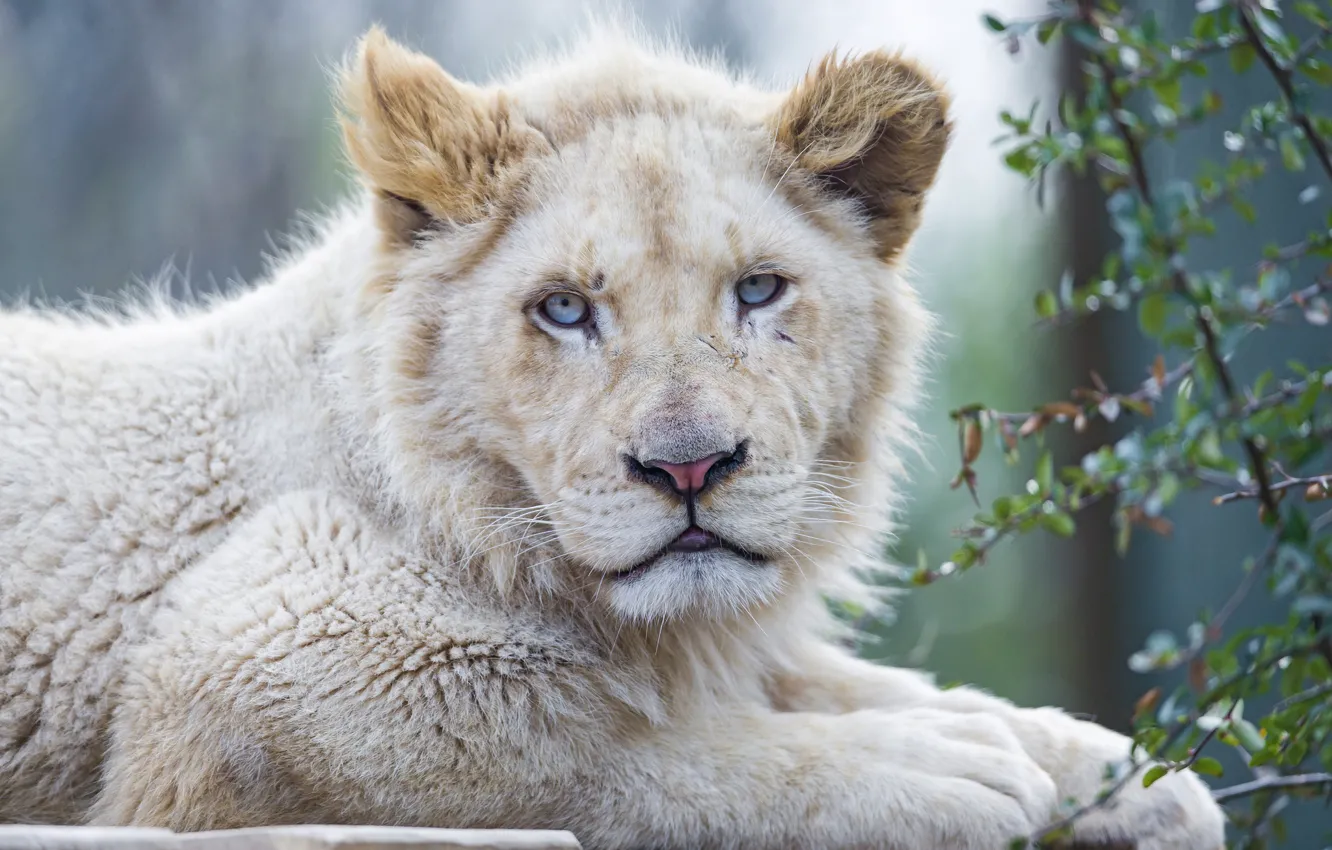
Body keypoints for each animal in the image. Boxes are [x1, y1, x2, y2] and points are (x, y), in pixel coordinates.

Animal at [0, 26, 1220, 850]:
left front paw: (1124, 774)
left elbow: (837, 681)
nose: (689, 468)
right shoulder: (244, 661)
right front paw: (950, 779)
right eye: (564, 310)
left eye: (758, 290)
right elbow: (613, 749)